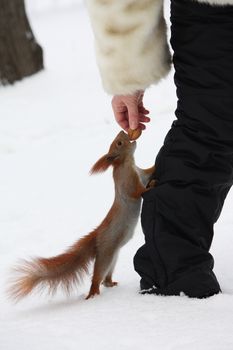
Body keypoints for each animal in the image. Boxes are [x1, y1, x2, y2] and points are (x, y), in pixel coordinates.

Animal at [8, 131, 155, 300]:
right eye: (118, 143)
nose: (123, 131)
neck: (126, 163)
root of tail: (97, 235)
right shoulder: (128, 184)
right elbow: (138, 192)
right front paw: (152, 185)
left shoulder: (142, 174)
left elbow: (149, 171)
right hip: (105, 255)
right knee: (97, 278)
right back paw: (93, 295)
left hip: (113, 257)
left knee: (105, 280)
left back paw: (110, 284)